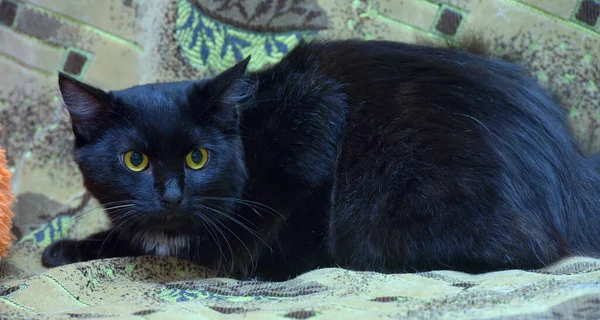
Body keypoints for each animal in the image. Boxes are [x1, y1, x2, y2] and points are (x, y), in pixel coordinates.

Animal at [42, 38, 600, 282]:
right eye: (134, 161)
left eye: (198, 158)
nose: (172, 196)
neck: (250, 139)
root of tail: (572, 169)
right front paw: (74, 245)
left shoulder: (317, 120)